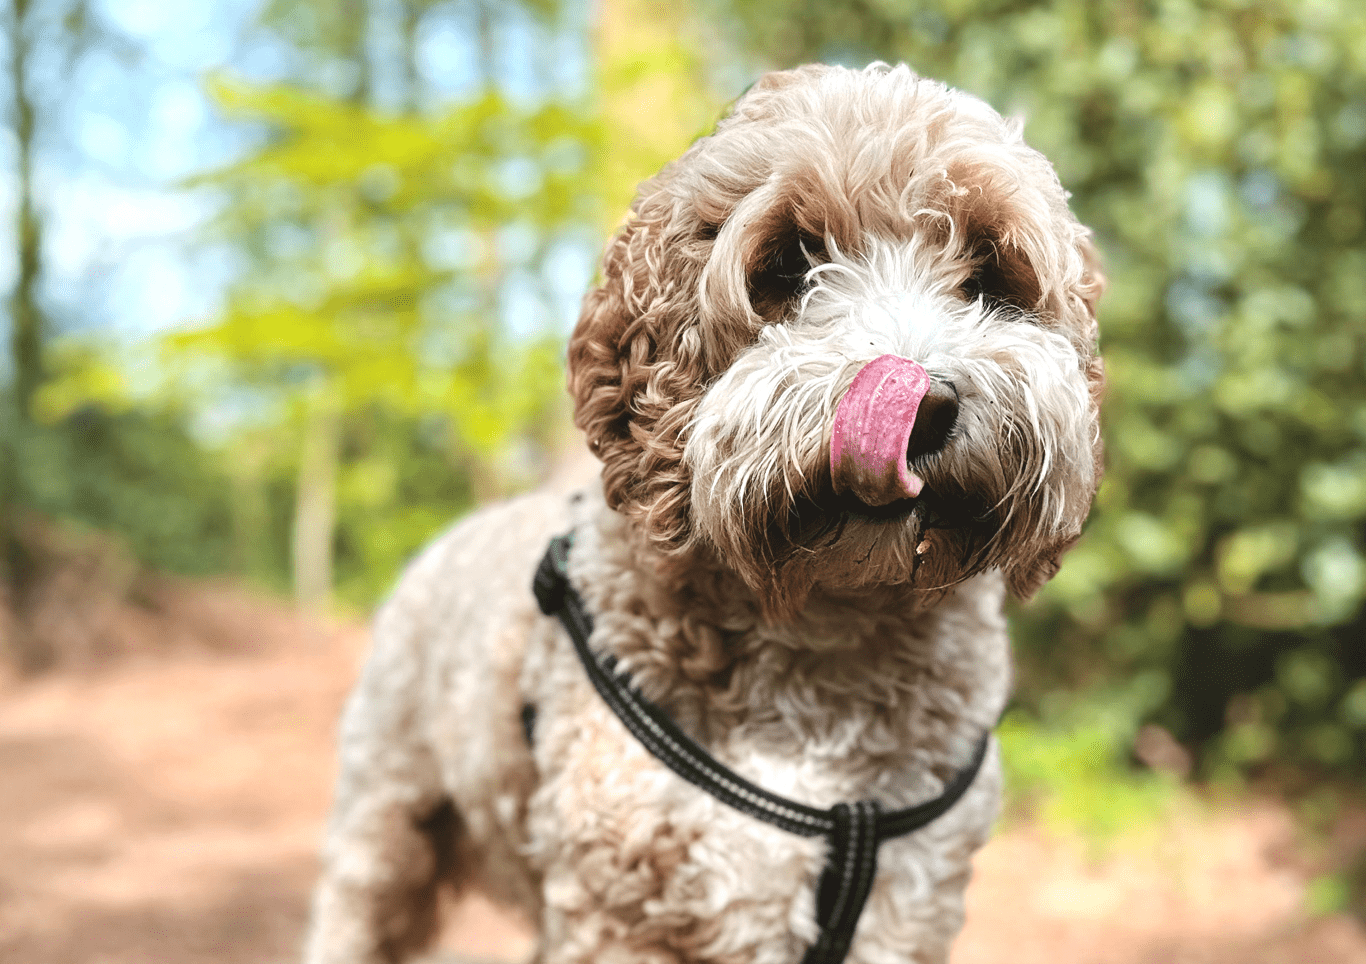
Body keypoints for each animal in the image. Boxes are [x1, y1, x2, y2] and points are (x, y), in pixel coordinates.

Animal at [304, 62, 1103, 961]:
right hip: (382, 831)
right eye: (788, 262)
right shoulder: (618, 912)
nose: (922, 405)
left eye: (989, 271)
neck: (830, 633)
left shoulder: (905, 911)